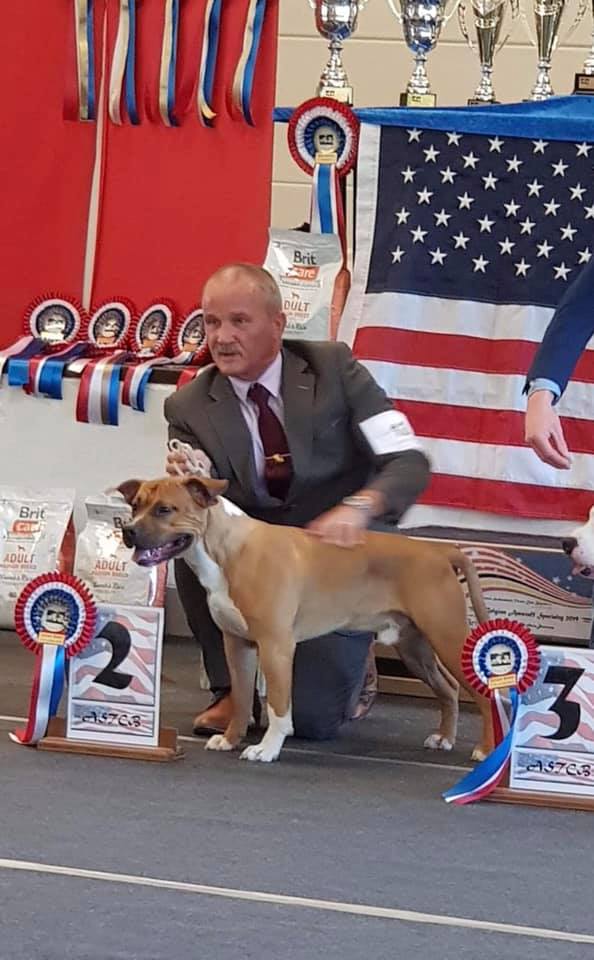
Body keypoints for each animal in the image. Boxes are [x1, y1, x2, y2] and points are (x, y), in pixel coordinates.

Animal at [117, 474, 494, 764]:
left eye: (165, 509)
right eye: (135, 505)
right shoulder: (238, 644)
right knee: (449, 688)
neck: (229, 549)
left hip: (446, 637)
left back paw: (485, 751)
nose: (129, 530)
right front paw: (230, 738)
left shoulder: (275, 646)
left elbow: (278, 708)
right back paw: (444, 738)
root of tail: (439, 551)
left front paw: (266, 749)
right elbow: (241, 698)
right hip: (414, 647)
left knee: (486, 693)